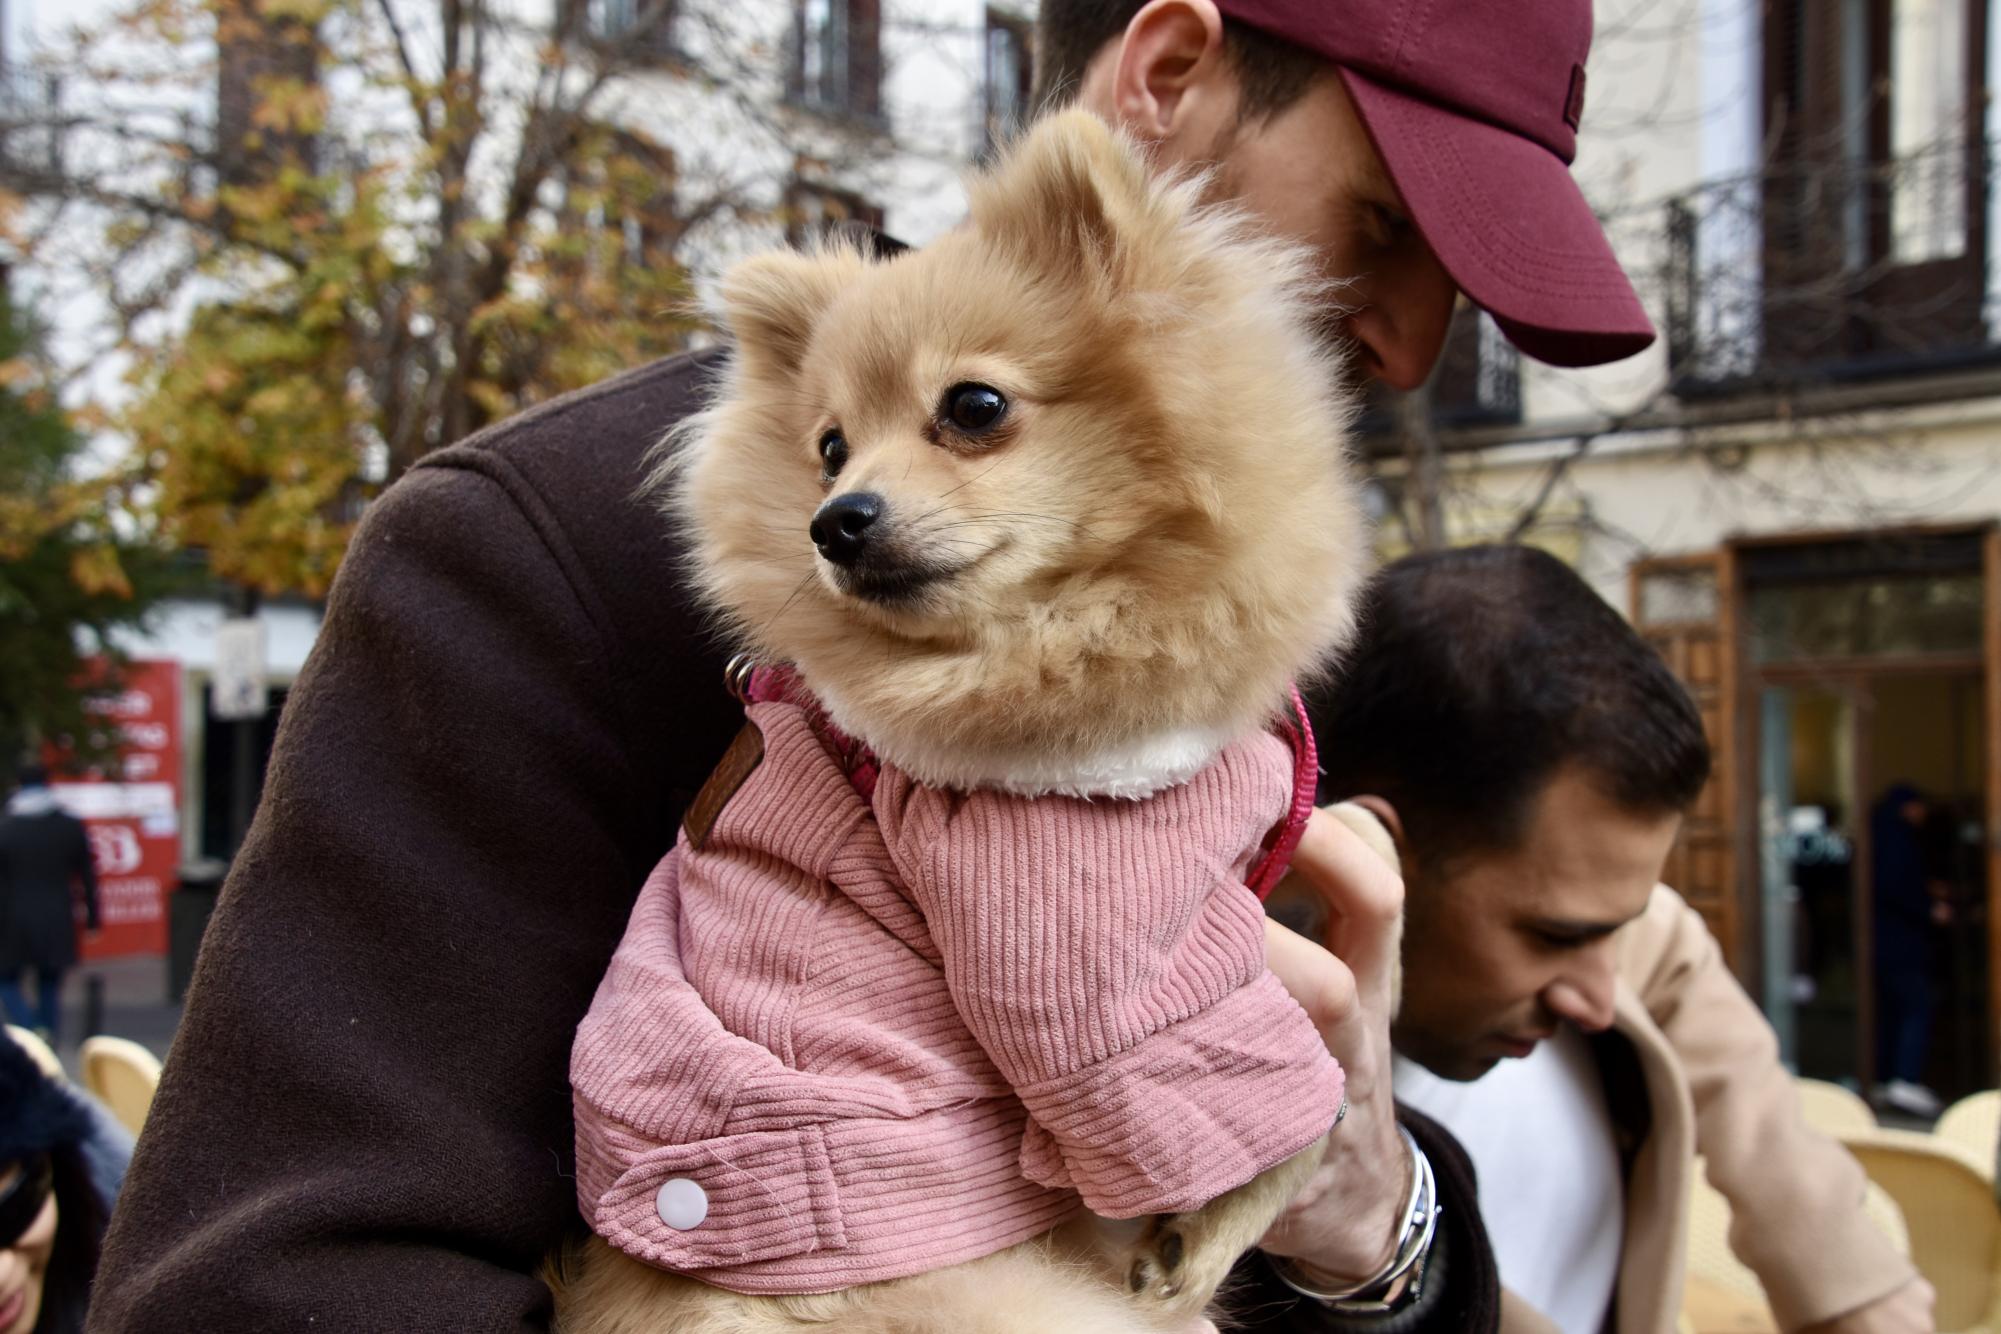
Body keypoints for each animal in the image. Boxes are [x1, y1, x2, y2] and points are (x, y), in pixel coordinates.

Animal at [556, 112, 1384, 1334]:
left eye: (974, 408)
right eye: (831, 448)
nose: (834, 520)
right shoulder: (1071, 944)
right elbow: (1269, 1095)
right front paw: (1203, 1233)